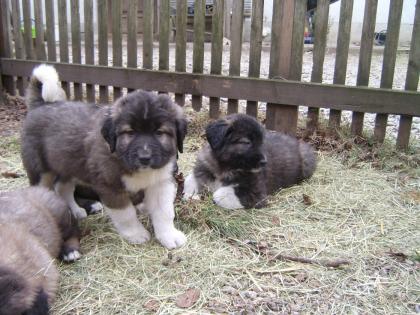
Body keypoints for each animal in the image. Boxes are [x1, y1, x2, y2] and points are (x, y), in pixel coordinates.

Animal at [21, 64, 188, 249]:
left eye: (159, 133)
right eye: (130, 133)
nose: (145, 157)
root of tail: (40, 105)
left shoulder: (160, 182)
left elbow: (164, 212)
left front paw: (169, 235)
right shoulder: (110, 187)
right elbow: (127, 214)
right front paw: (136, 234)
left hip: (68, 166)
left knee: (63, 188)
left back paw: (76, 211)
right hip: (41, 170)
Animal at [182, 114, 316, 210]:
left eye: (261, 142)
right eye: (246, 142)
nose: (264, 162)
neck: (226, 167)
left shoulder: (256, 193)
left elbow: (218, 194)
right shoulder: (204, 167)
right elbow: (190, 179)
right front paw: (191, 196)